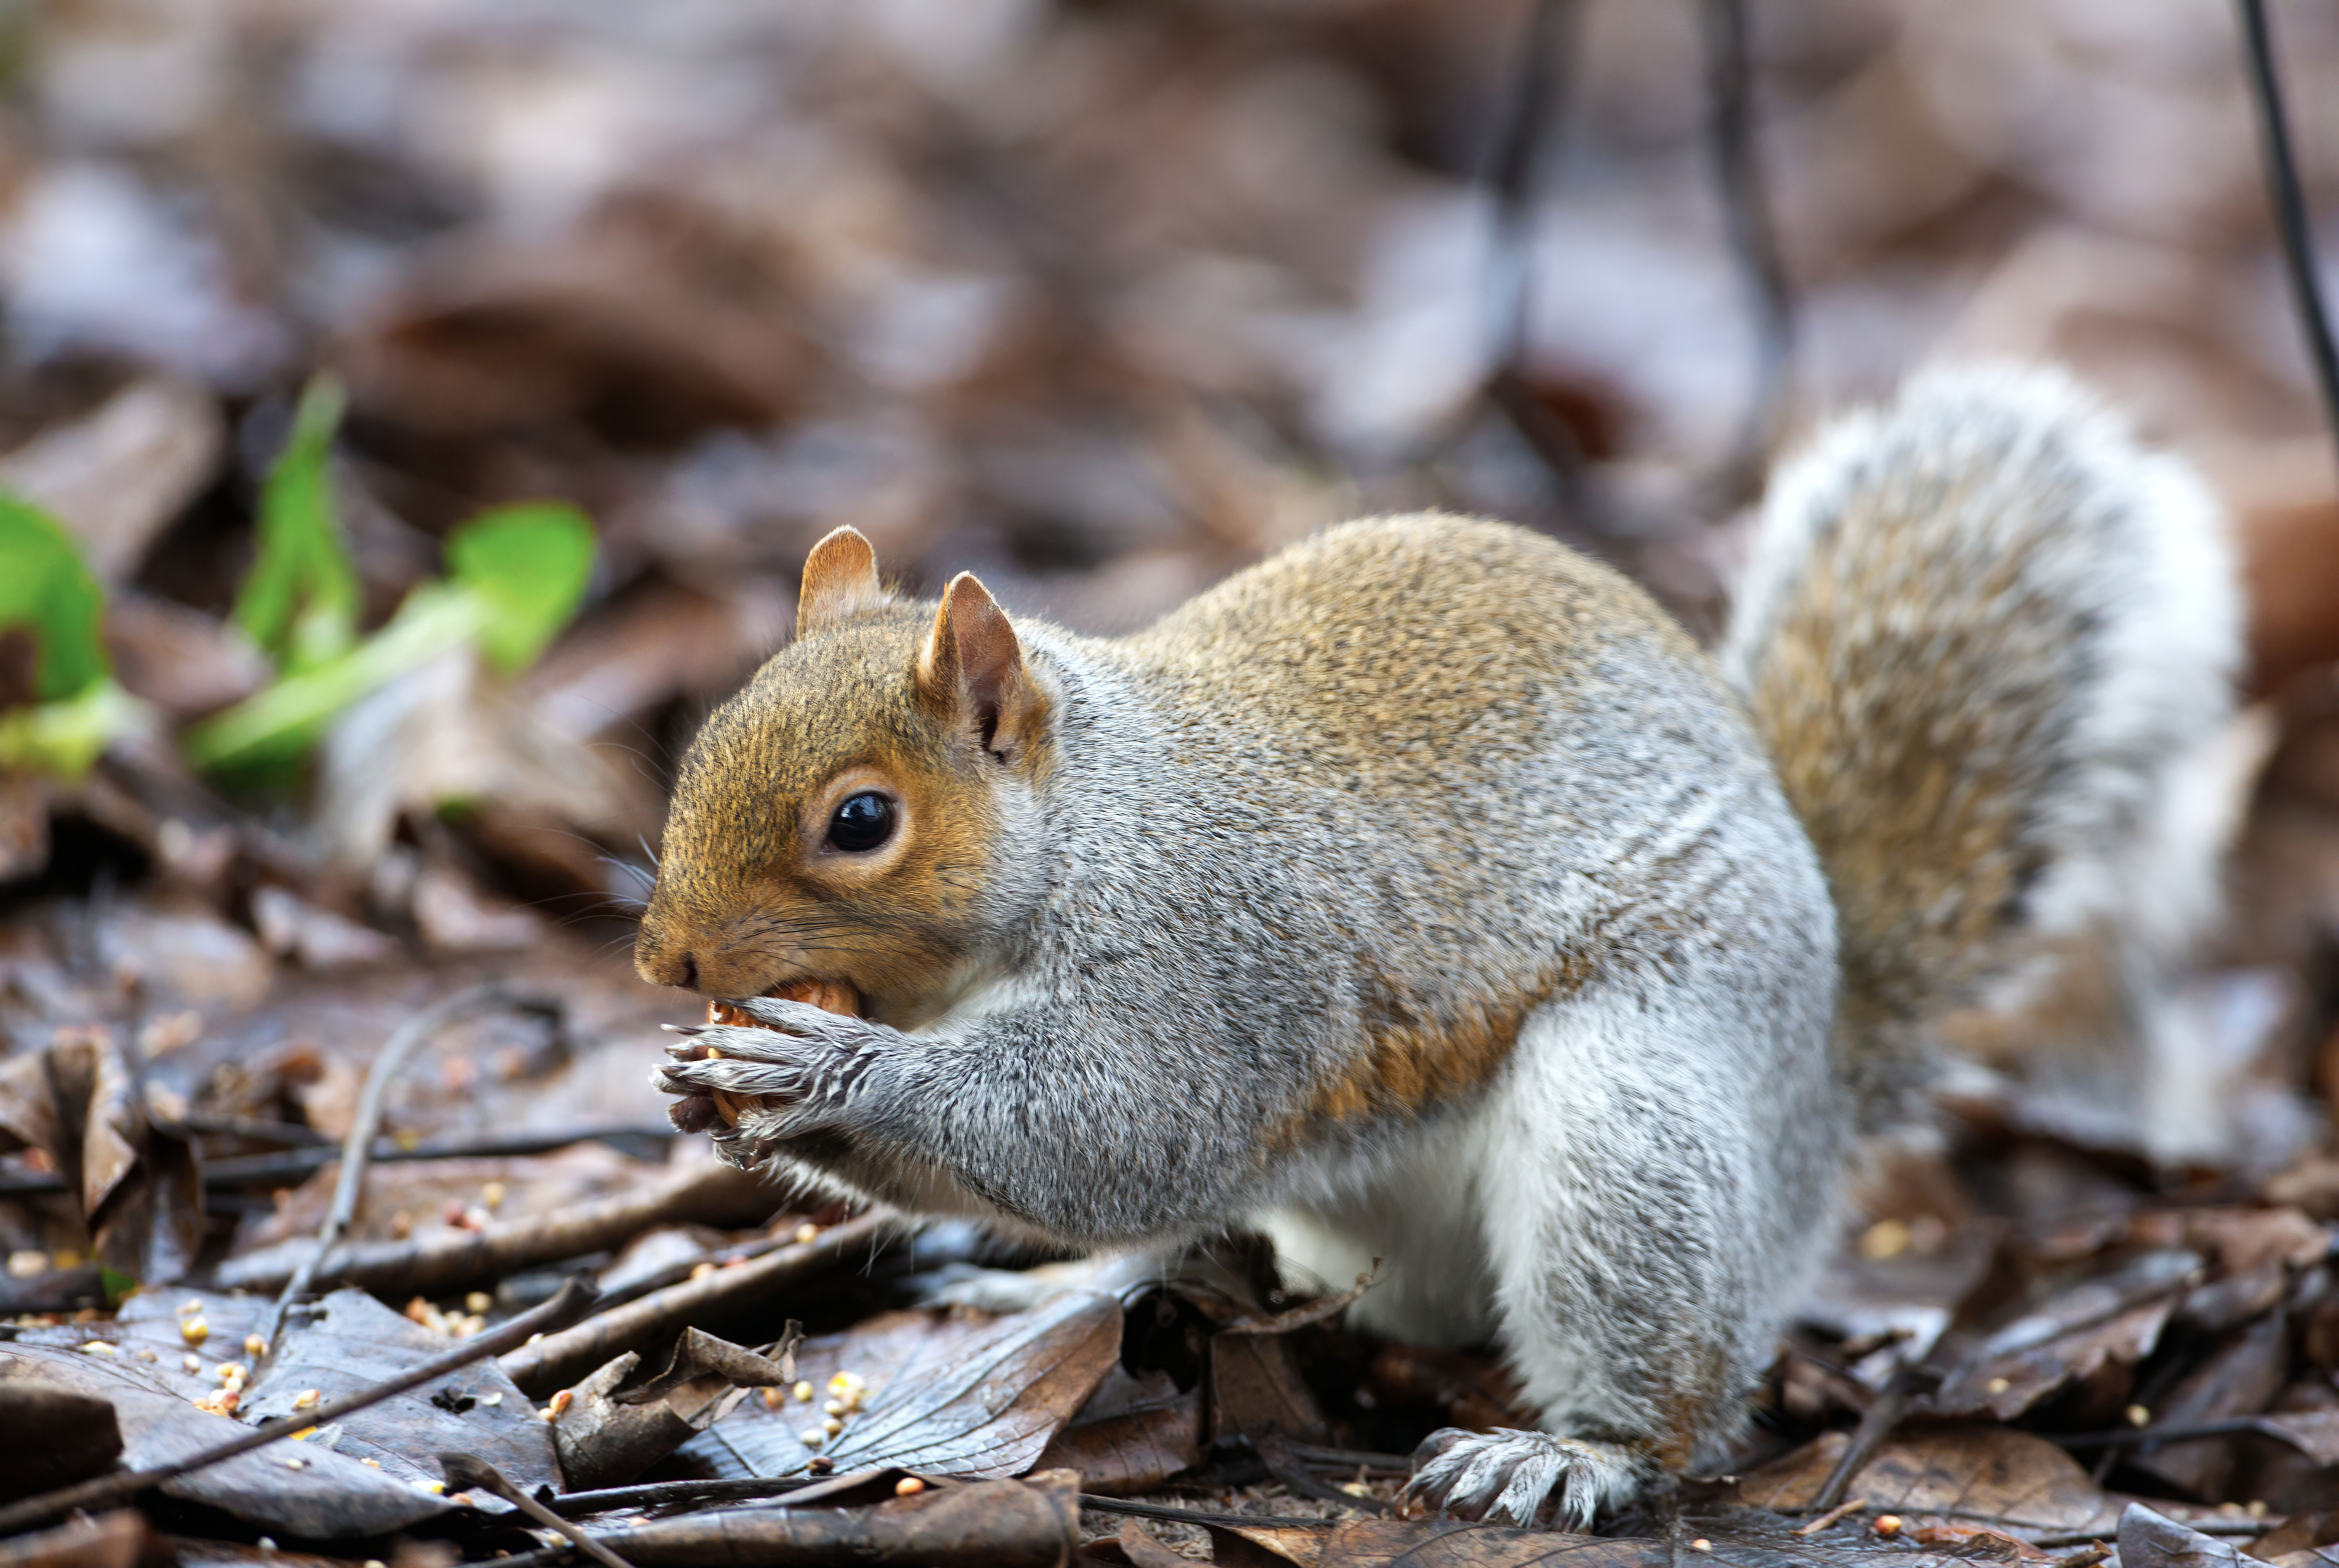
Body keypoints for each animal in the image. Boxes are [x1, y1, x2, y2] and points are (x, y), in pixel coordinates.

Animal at [636, 363, 2241, 1527]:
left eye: (861, 820)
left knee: (1673, 1373)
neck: (1094, 820)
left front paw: (831, 1072)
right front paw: (718, 1085)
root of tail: (1818, 1092)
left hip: (1637, 1110)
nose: (665, 962)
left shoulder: (1215, 954)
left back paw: (1576, 1455)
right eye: (701, 741)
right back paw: (1068, 1295)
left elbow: (1122, 1125)